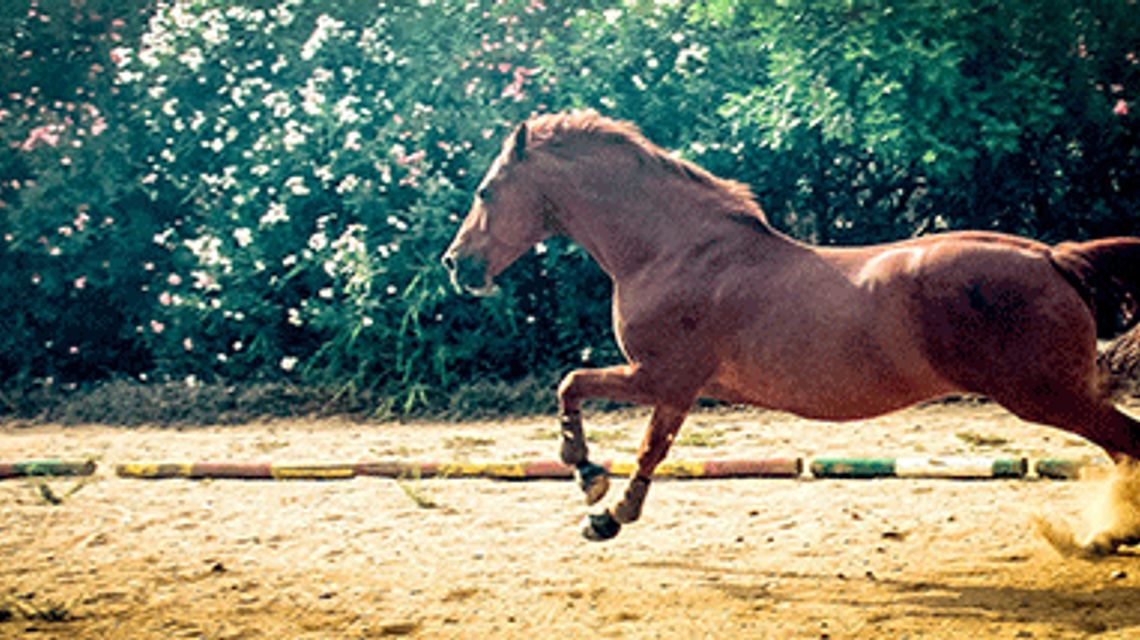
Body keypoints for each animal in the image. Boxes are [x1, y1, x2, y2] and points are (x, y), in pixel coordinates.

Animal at [441, 110, 1140, 553]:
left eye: (485, 190)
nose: (457, 264)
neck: (673, 250)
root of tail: (1054, 258)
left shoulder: (663, 377)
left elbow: (587, 399)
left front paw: (595, 492)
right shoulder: (675, 388)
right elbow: (637, 437)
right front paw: (603, 504)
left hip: (1046, 396)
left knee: (1127, 443)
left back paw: (1104, 535)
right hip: (1058, 395)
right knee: (1123, 449)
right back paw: (1109, 533)